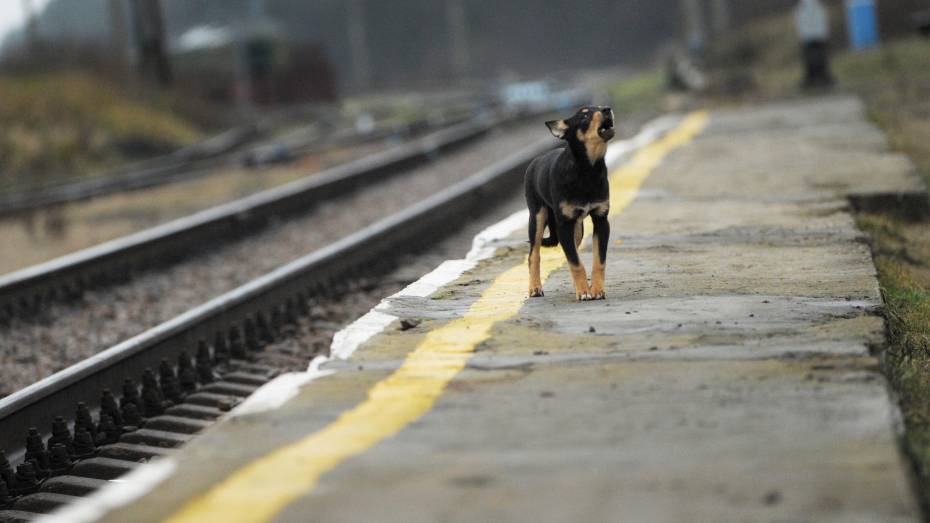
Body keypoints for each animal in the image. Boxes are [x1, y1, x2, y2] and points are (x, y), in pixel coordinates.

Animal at [524, 106, 612, 300]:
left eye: (600, 107)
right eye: (584, 116)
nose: (607, 109)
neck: (588, 169)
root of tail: (535, 161)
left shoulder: (601, 220)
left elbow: (598, 260)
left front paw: (596, 290)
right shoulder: (563, 225)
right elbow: (575, 262)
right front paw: (584, 292)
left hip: (577, 227)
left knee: (573, 251)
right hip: (537, 216)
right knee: (534, 255)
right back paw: (535, 288)